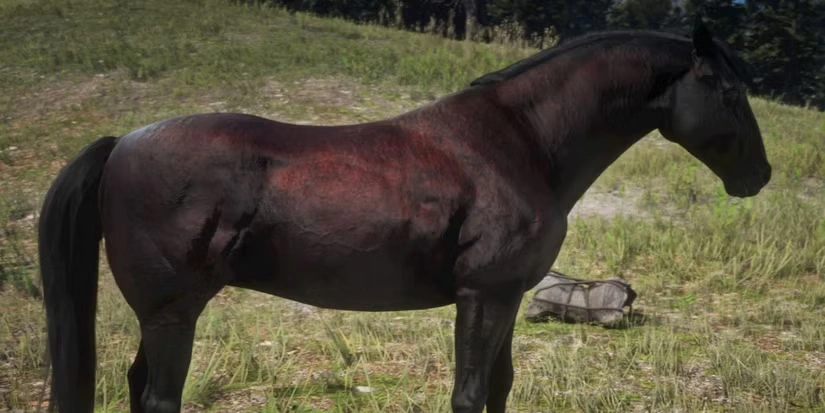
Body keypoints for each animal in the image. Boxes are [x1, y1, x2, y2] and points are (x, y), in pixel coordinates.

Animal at [38, 18, 770, 413]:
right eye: (729, 92)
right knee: (159, 395)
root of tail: (121, 143)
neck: (519, 141)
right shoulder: (482, 296)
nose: (758, 176)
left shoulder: (506, 297)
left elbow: (499, 387)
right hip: (172, 314)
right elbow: (470, 392)